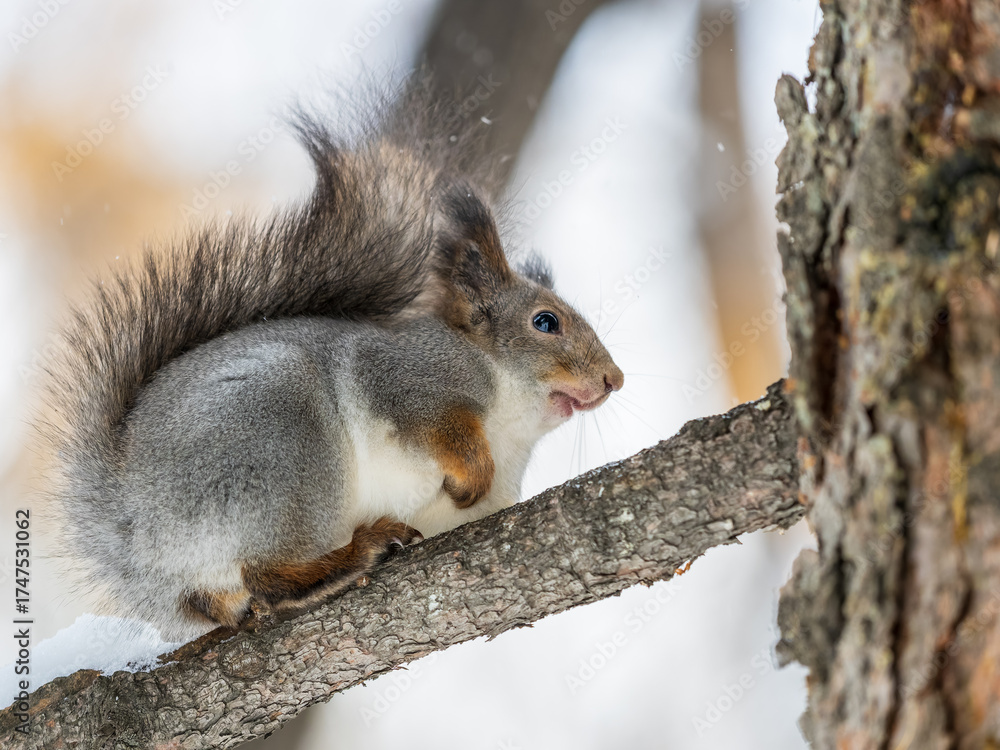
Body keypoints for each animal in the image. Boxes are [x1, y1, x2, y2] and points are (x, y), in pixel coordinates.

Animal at [42, 80, 624, 641]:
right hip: (280, 444)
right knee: (267, 576)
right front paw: (472, 472)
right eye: (545, 322)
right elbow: (438, 426)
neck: (511, 422)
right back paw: (358, 551)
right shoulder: (408, 379)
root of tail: (130, 529)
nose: (613, 379)